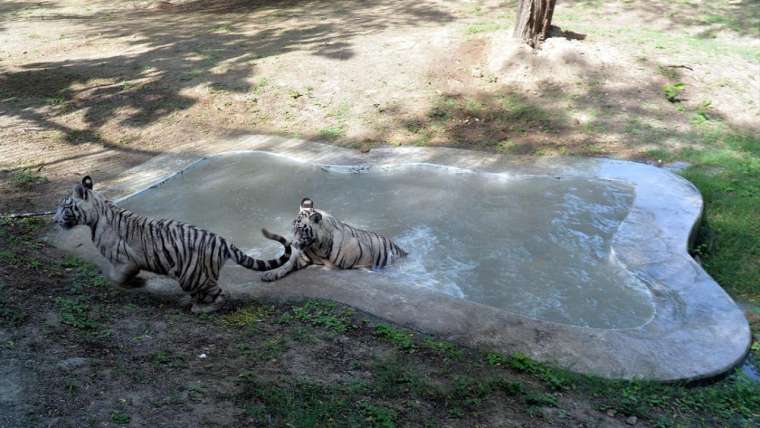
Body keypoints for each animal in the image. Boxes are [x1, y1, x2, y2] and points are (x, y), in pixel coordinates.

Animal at [53, 176, 290, 312]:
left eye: (64, 207)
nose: (54, 220)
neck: (97, 213)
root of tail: (222, 241)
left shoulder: (124, 261)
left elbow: (115, 277)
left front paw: (133, 283)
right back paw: (192, 303)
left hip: (192, 276)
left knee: (219, 295)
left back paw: (200, 308)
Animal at [262, 199, 406, 282]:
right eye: (292, 228)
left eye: (300, 229)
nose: (292, 243)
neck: (317, 246)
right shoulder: (303, 256)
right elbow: (288, 264)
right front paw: (271, 274)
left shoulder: (365, 256)